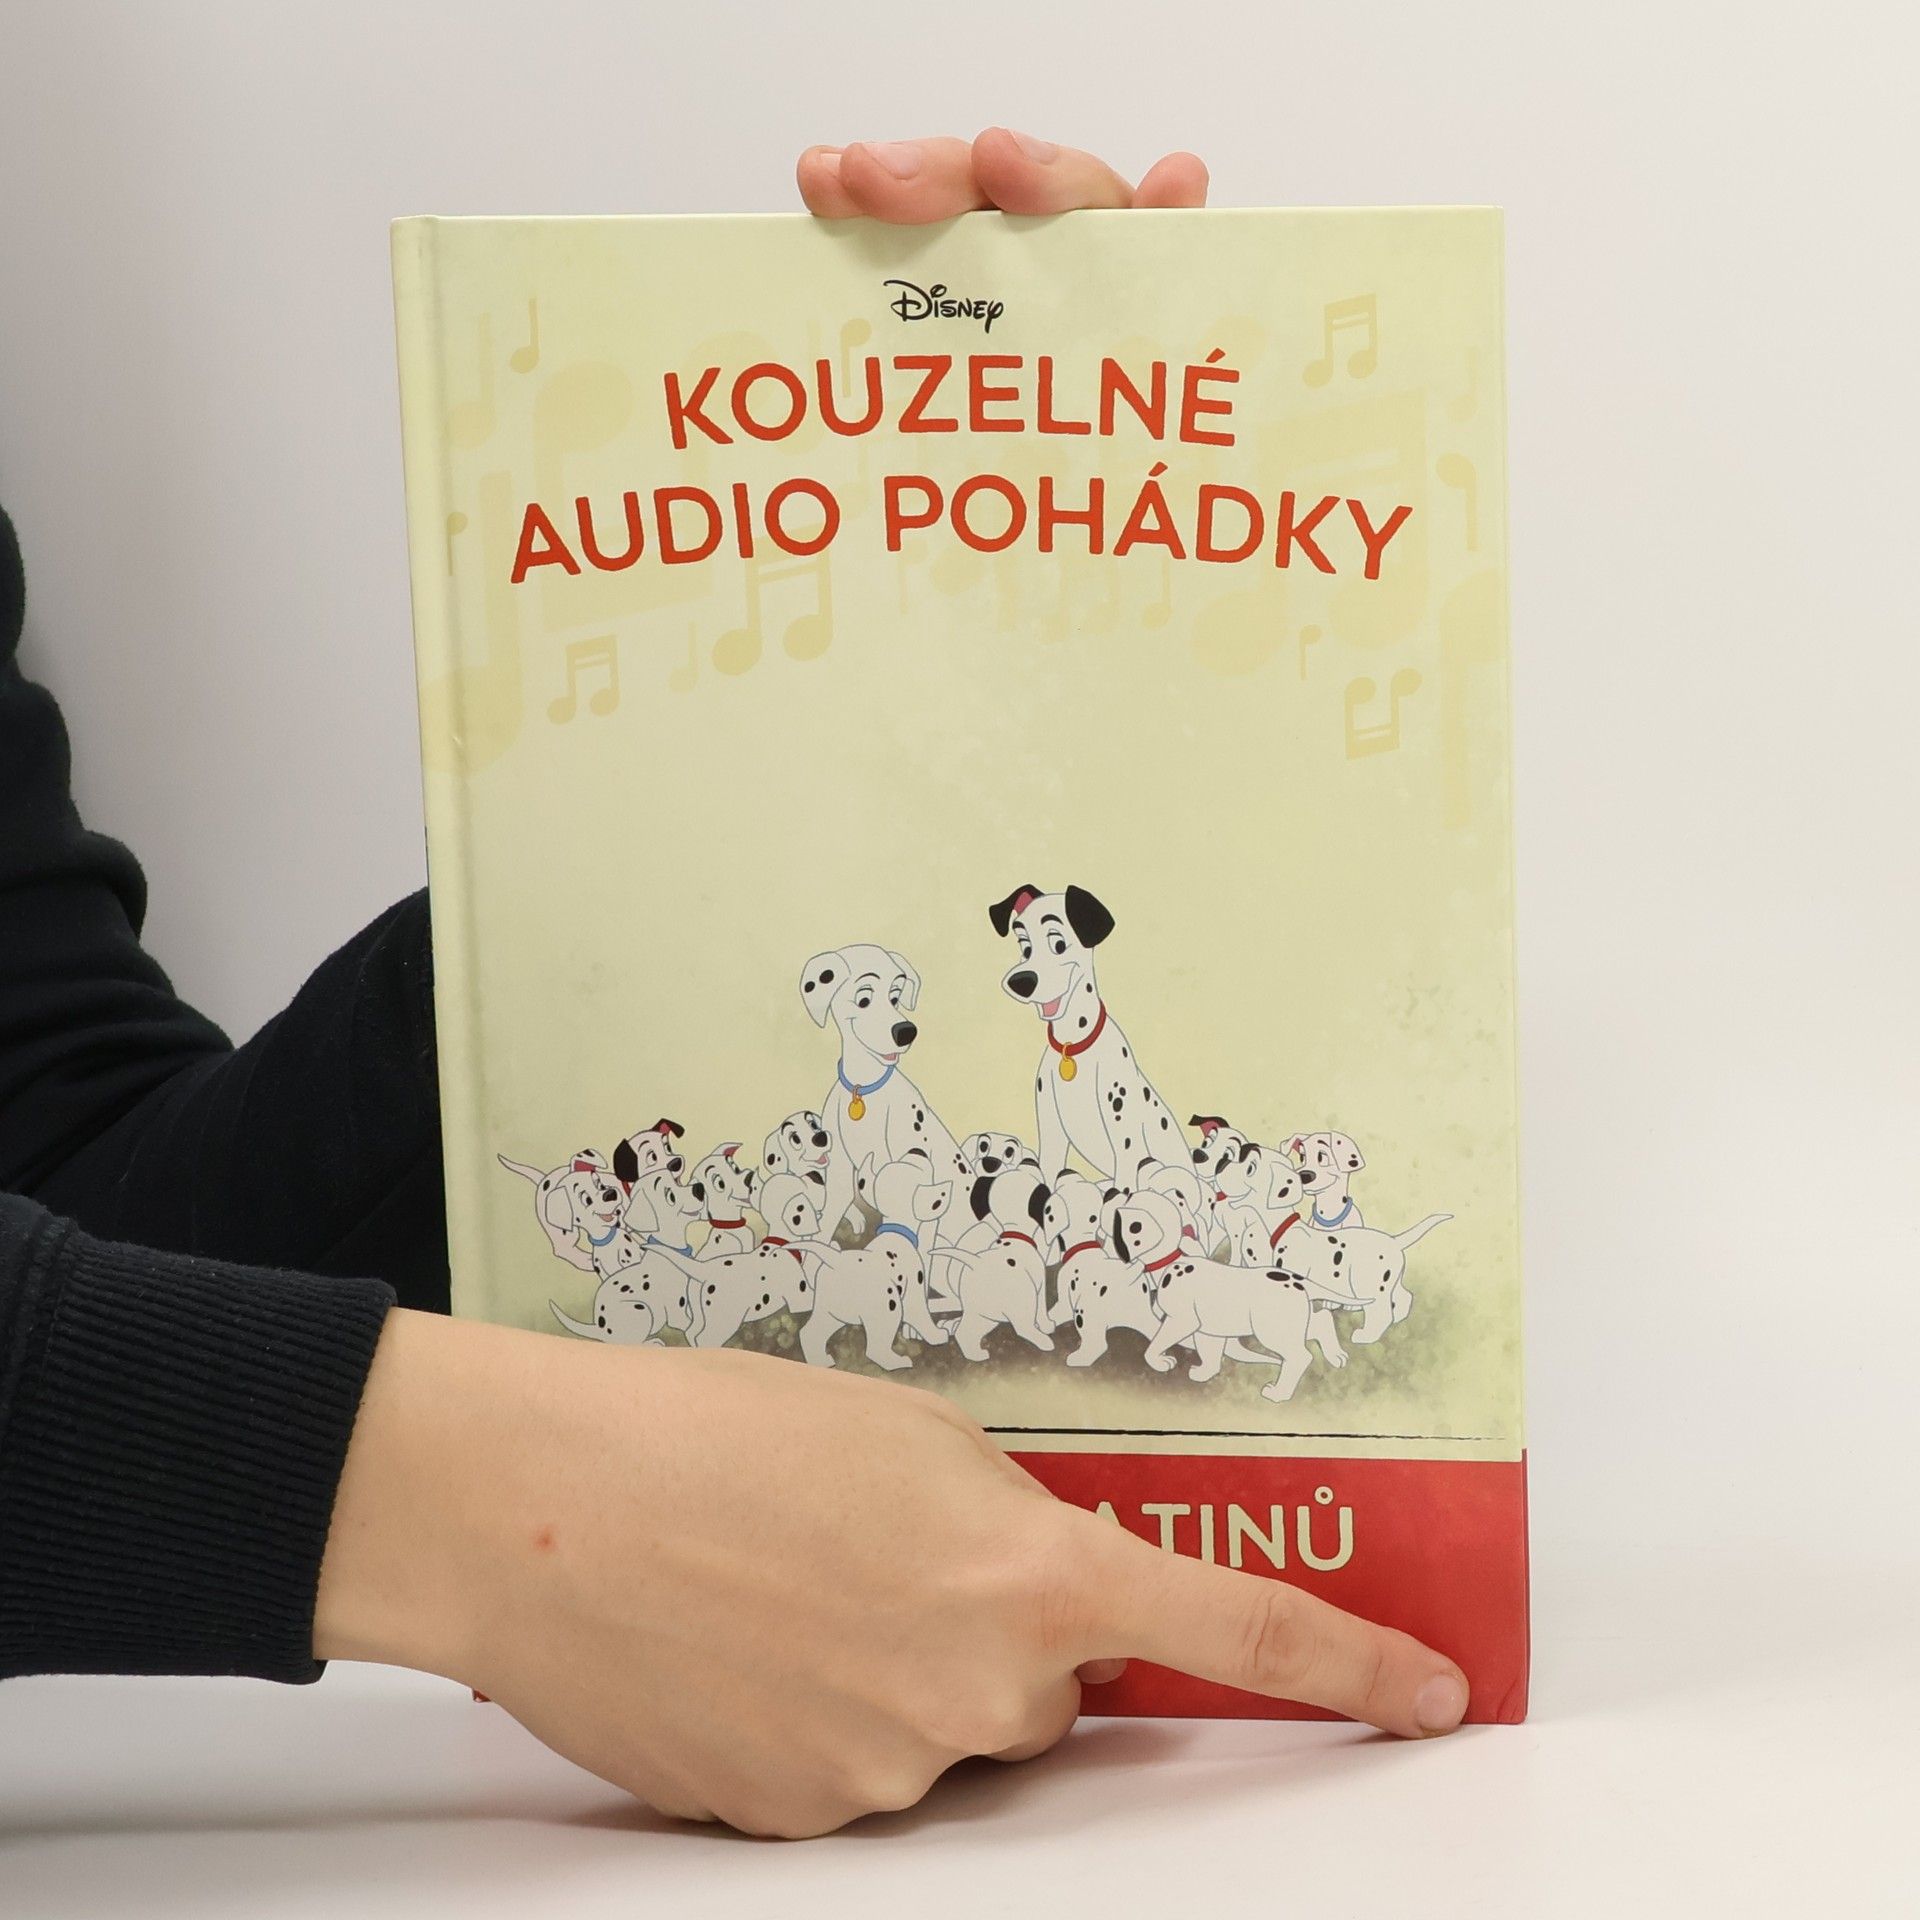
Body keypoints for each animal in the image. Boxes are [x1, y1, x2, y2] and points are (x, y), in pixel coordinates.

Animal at [927, 1166, 1055, 1361]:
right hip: (1019, 1305)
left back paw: (975, 1355)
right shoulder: (1039, 1286)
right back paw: (1044, 1342)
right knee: (1023, 1328)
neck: (1015, 1233)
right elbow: (1041, 1310)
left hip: (982, 1315)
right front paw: (1047, 1325)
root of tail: (975, 1262)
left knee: (964, 1332)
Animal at [988, 884, 1189, 1184]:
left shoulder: (1125, 1139)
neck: (1072, 1045)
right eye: (1025, 947)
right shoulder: (1051, 1132)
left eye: (1058, 944)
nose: (1021, 981)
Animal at [1111, 1190, 1365, 1402]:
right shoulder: (1208, 1329)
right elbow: (1210, 1354)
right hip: (1290, 1325)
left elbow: (1154, 1345)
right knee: (1322, 1320)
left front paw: (1161, 1362)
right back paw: (1337, 1356)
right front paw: (1204, 1373)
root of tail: (1299, 1281)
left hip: (1273, 1332)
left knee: (1300, 1357)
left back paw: (1279, 1393)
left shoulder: (1180, 1321)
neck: (1171, 1263)